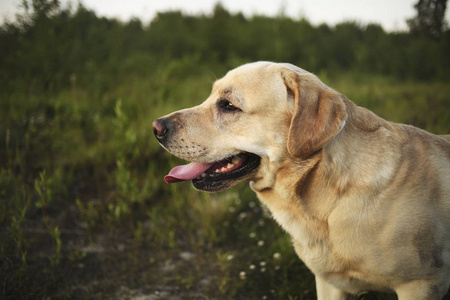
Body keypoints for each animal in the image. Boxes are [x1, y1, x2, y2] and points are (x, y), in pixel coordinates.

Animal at [154, 62, 450, 298]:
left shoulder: (420, 283)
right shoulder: (328, 283)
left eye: (229, 106)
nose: (156, 127)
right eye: (210, 96)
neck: (328, 203)